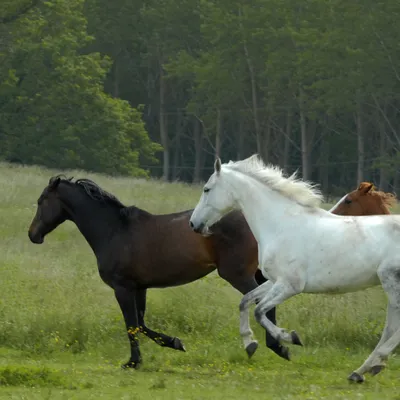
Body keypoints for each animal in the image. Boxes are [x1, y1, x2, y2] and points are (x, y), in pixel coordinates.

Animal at [28, 177, 396, 370]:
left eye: (41, 200)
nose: (33, 235)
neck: (115, 230)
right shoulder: (139, 287)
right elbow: (142, 323)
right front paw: (174, 343)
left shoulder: (122, 287)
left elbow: (132, 325)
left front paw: (135, 361)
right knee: (266, 304)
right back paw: (279, 344)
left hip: (237, 274)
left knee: (260, 304)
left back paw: (276, 344)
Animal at [189, 155, 400, 382]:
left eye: (207, 189)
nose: (194, 224)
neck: (281, 225)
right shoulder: (275, 281)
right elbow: (245, 302)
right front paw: (250, 344)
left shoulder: (290, 286)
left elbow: (259, 311)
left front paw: (290, 338)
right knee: (390, 327)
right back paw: (363, 370)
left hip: (390, 281)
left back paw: (371, 365)